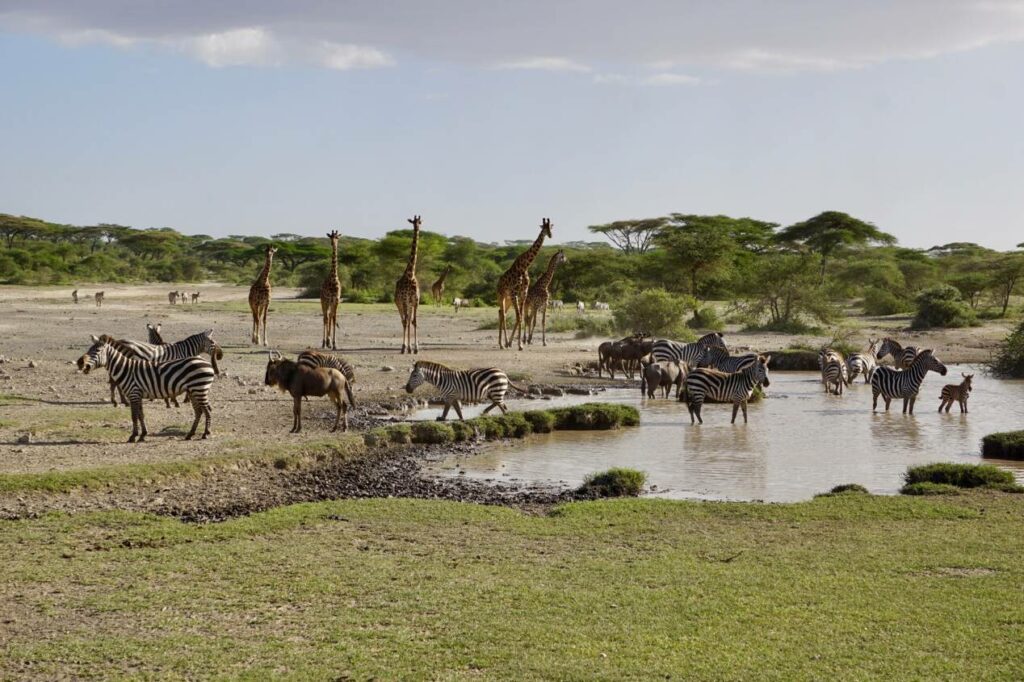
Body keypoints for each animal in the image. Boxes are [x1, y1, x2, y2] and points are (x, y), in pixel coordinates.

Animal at [76, 333, 215, 440]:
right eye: (89, 349)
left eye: (97, 351)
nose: (80, 362)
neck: (125, 369)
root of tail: (206, 363)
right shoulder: (138, 395)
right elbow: (141, 415)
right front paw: (143, 434)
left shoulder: (134, 394)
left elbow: (134, 416)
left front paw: (133, 436)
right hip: (193, 391)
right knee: (199, 411)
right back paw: (190, 434)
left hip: (199, 389)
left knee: (206, 411)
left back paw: (205, 434)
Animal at [495, 216, 552, 348]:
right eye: (544, 228)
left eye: (550, 227)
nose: (550, 235)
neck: (524, 266)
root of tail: (498, 283)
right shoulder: (514, 293)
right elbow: (519, 317)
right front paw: (519, 345)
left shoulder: (523, 294)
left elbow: (521, 317)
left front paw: (520, 344)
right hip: (502, 295)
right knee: (503, 314)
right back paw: (502, 344)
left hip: (508, 298)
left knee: (502, 313)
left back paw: (505, 343)